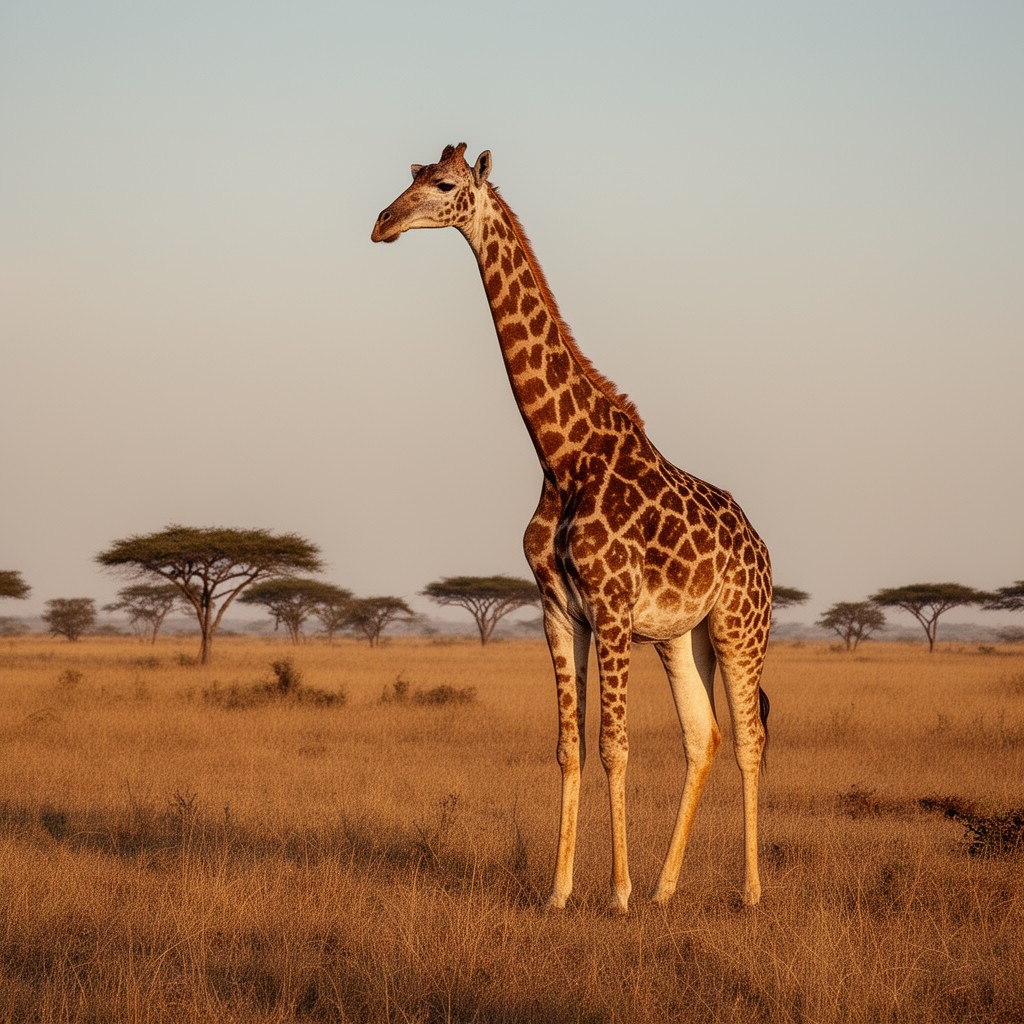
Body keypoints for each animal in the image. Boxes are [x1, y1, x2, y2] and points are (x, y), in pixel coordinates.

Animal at [371, 143, 772, 914]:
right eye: (409, 175)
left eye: (443, 184)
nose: (382, 223)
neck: (561, 454)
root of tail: (763, 547)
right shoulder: (559, 609)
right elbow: (570, 747)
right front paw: (560, 892)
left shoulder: (612, 608)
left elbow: (615, 746)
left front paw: (614, 894)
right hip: (682, 635)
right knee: (703, 736)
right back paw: (665, 889)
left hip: (740, 626)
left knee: (749, 739)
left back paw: (748, 892)